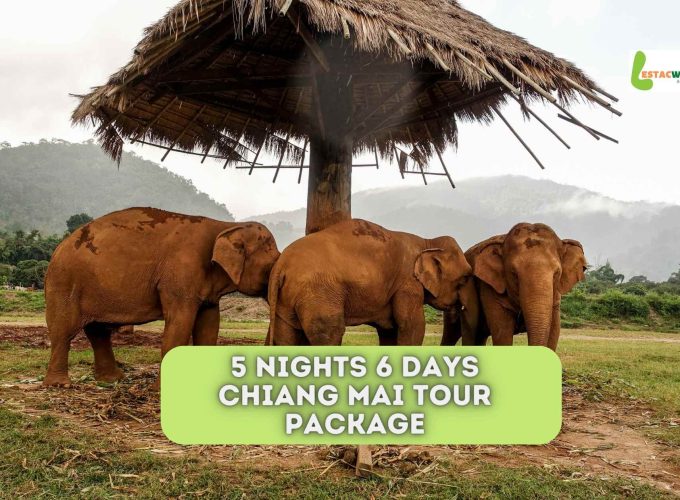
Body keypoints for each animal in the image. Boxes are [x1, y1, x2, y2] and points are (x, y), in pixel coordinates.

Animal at [43, 207, 280, 387]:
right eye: (271, 267)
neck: (226, 226)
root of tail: (58, 248)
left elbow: (209, 325)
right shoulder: (180, 275)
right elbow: (180, 323)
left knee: (98, 331)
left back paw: (113, 380)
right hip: (64, 282)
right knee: (64, 330)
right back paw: (60, 384)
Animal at [267, 219, 472, 346]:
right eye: (465, 278)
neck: (426, 241)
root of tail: (281, 265)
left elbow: (389, 330)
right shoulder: (408, 283)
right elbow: (411, 324)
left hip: (286, 299)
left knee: (286, 335)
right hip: (318, 293)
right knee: (330, 333)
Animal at [442, 223, 586, 350]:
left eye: (557, 274)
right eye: (514, 274)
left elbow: (554, 332)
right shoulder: (490, 286)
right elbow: (502, 333)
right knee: (452, 334)